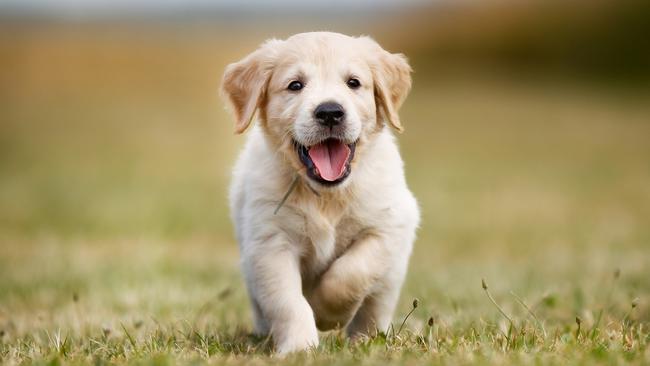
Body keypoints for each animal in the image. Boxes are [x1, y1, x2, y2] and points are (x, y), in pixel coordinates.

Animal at [220, 32, 418, 354]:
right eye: (295, 85)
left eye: (353, 82)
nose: (330, 112)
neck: (327, 195)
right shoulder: (269, 244)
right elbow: (288, 302)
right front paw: (300, 347)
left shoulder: (389, 226)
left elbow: (352, 272)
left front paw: (327, 314)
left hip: (391, 275)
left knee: (375, 306)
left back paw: (366, 339)